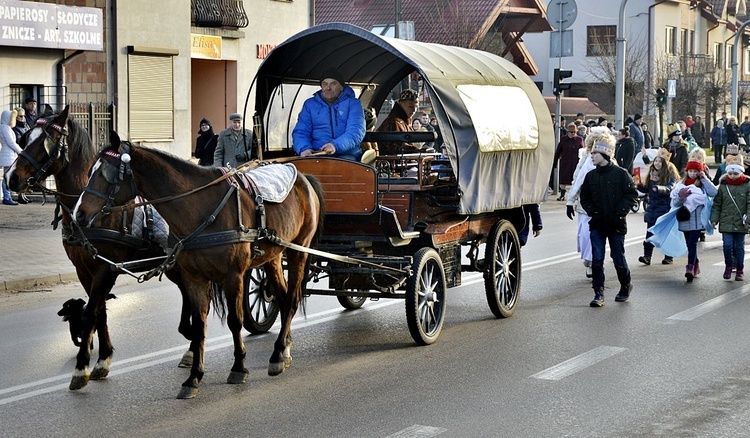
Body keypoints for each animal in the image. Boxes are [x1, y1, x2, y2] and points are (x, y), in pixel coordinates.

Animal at [5, 108, 197, 392]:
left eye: (46, 142)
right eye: (26, 137)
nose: (11, 177)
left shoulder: (106, 268)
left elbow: (90, 315)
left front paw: (81, 367)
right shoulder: (84, 269)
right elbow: (100, 313)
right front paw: (102, 360)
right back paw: (191, 346)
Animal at [71, 132, 326, 398]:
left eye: (106, 173)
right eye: (90, 171)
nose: (78, 214)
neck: (201, 206)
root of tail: (304, 177)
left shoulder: (233, 276)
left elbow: (235, 320)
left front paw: (238, 368)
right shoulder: (194, 277)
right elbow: (200, 324)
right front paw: (193, 377)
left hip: (298, 251)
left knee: (292, 300)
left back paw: (277, 354)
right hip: (273, 256)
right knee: (284, 297)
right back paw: (283, 350)